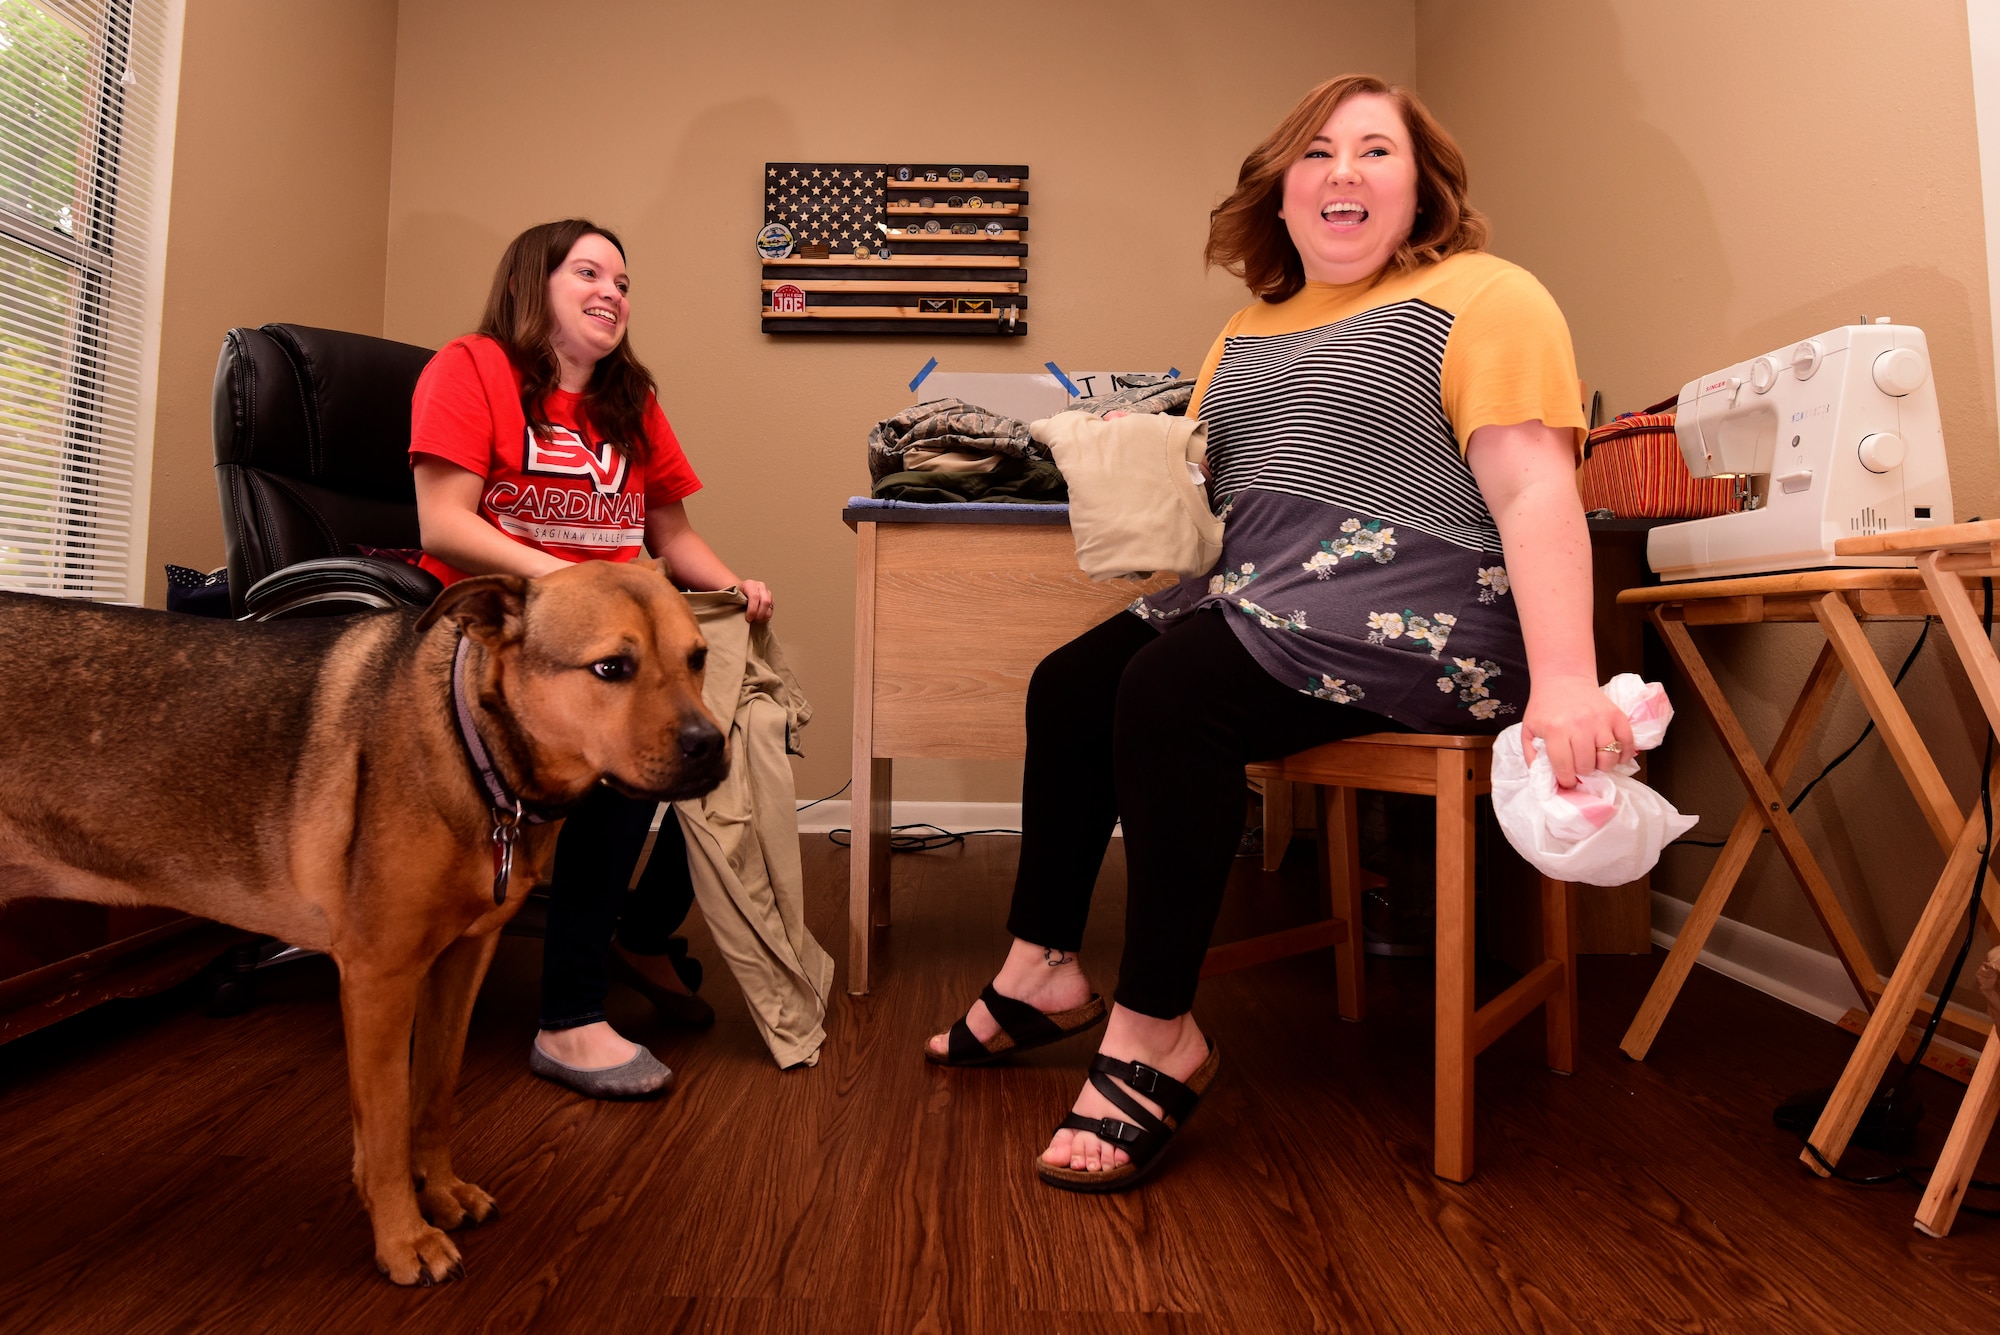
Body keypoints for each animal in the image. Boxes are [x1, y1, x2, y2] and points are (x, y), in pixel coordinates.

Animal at [0, 559, 728, 1279]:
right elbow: (385, 1120)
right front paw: (403, 1236)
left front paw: (439, 1190)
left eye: (699, 658)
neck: (473, 749)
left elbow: (432, 1093)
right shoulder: (380, 977)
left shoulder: (462, 960)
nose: (713, 746)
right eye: (611, 668)